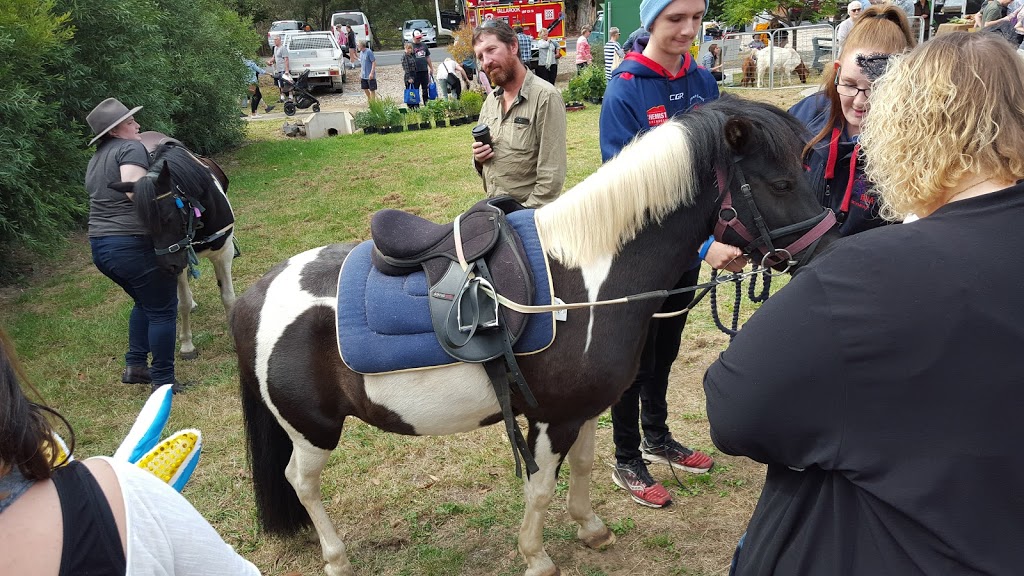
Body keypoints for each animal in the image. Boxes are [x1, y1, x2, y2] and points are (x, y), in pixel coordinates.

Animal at [113, 140, 236, 354]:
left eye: (169, 218)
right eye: (143, 223)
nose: (167, 267)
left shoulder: (223, 253)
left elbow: (228, 296)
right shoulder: (180, 261)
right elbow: (183, 303)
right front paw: (187, 345)